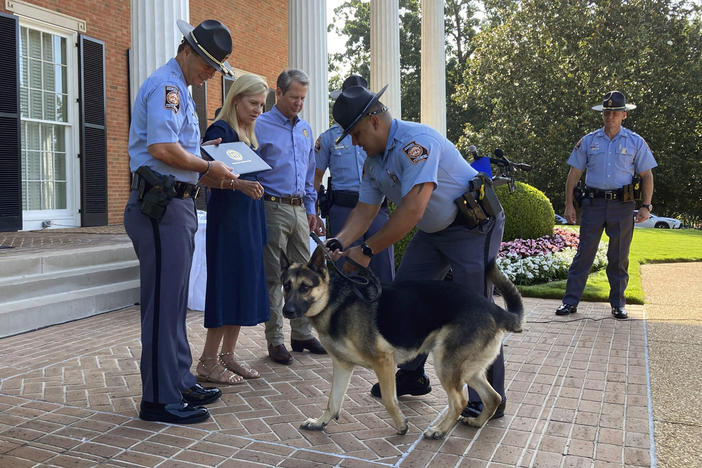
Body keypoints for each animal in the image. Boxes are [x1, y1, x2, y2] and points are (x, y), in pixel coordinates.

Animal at [280, 247, 524, 440]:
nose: (286, 311)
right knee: (493, 397)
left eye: (305, 287)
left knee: (460, 400)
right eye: (286, 286)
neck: (333, 301)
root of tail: (494, 309)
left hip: (445, 365)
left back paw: (439, 430)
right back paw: (477, 422)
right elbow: (333, 401)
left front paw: (401, 425)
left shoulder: (383, 361)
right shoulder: (342, 366)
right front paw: (320, 422)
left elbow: (389, 399)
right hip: (466, 370)